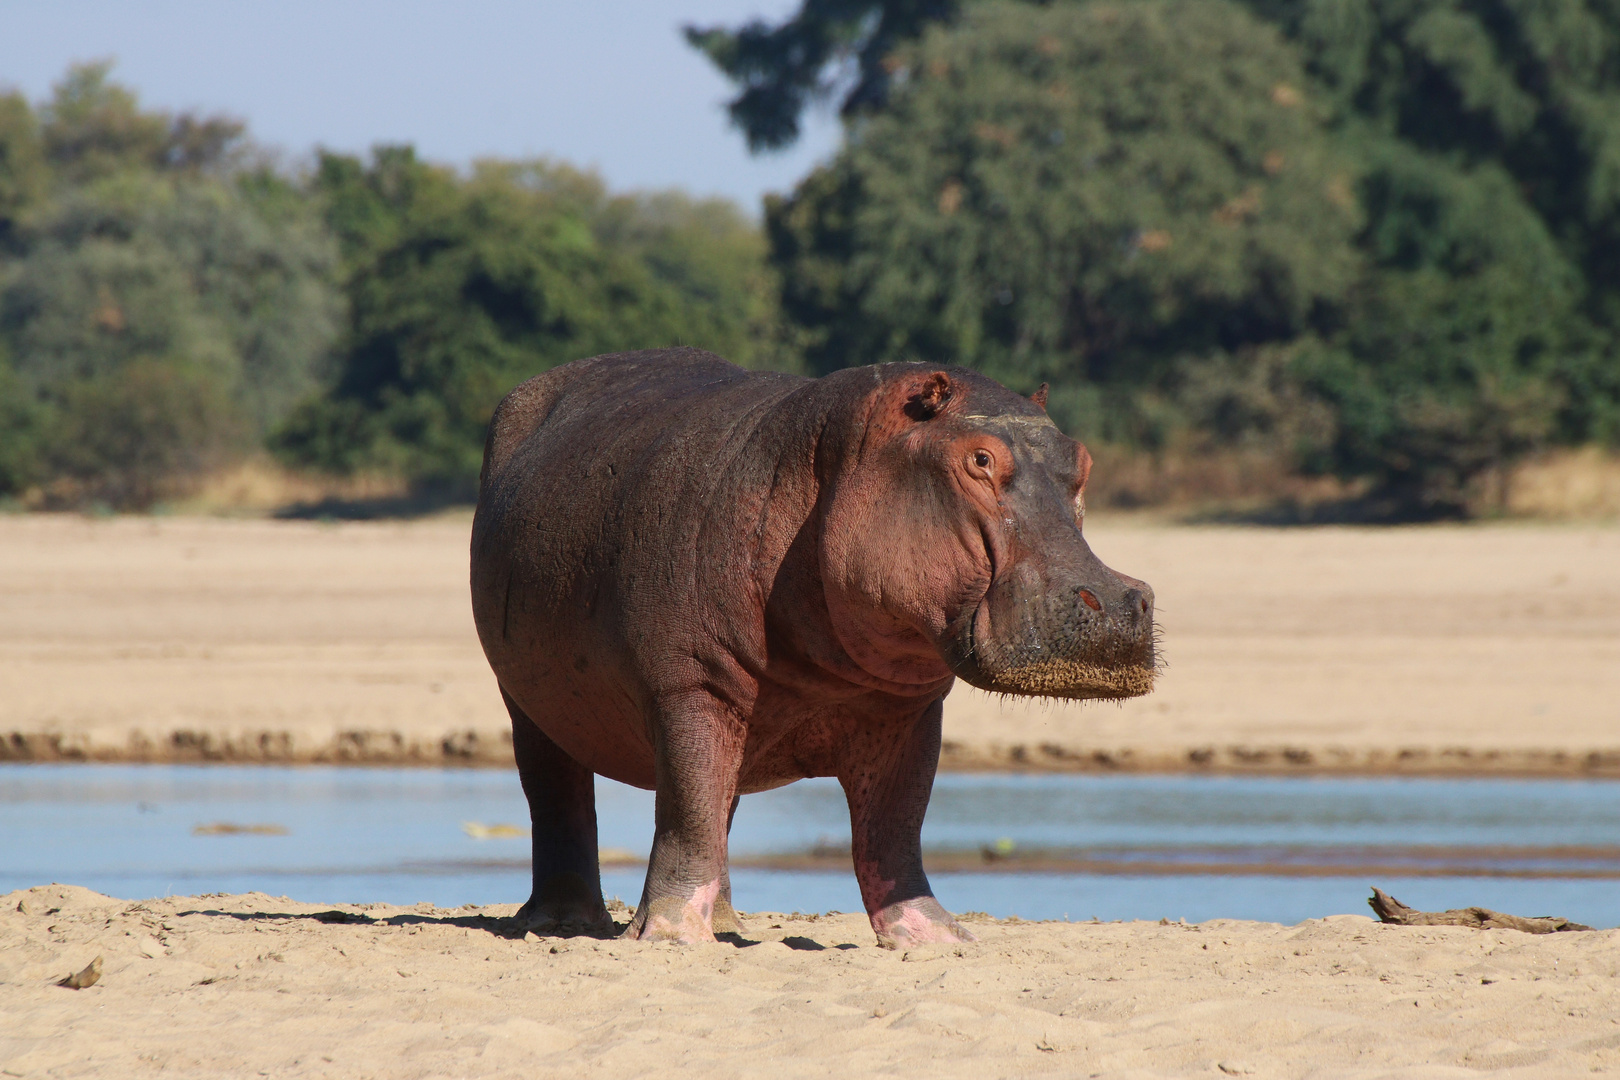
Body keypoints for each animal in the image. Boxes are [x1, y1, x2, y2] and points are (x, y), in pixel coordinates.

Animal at [469, 351, 1153, 952]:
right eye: (978, 458)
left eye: (1082, 460)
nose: (1121, 599)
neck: (833, 467)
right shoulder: (689, 686)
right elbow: (687, 806)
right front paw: (668, 936)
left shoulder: (907, 710)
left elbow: (897, 823)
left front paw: (938, 938)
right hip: (527, 701)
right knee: (559, 796)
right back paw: (562, 923)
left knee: (722, 802)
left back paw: (726, 922)